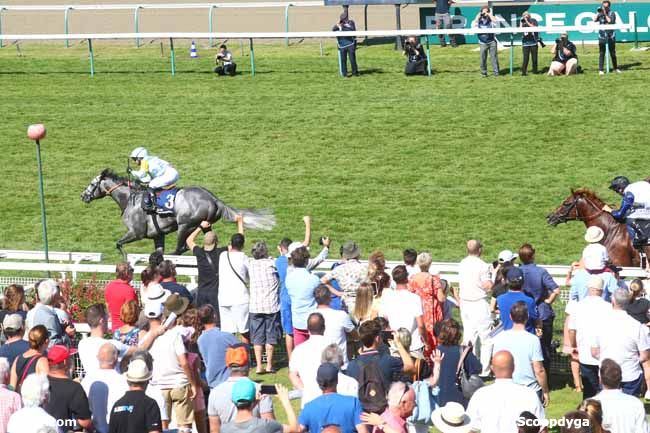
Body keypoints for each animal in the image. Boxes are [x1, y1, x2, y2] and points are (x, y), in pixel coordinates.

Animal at [79, 169, 274, 256]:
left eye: (92, 183)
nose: (83, 196)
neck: (130, 198)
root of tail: (214, 198)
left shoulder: (136, 232)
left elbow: (119, 244)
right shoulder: (157, 235)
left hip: (185, 225)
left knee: (180, 248)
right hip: (205, 226)